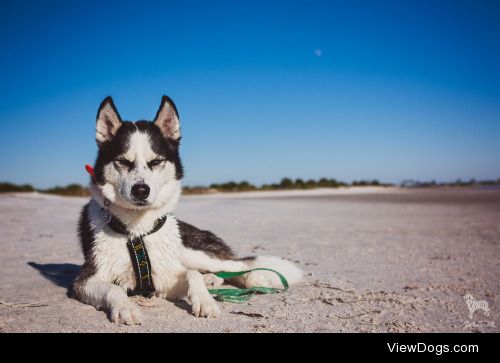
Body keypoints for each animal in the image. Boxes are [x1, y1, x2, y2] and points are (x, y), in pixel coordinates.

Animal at [72, 96, 302, 324]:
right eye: (122, 161)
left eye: (156, 161)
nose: (141, 190)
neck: (138, 231)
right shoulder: (86, 280)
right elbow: (114, 289)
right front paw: (125, 307)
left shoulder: (166, 276)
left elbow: (192, 275)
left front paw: (206, 301)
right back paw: (213, 280)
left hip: (192, 252)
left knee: (236, 265)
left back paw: (253, 278)